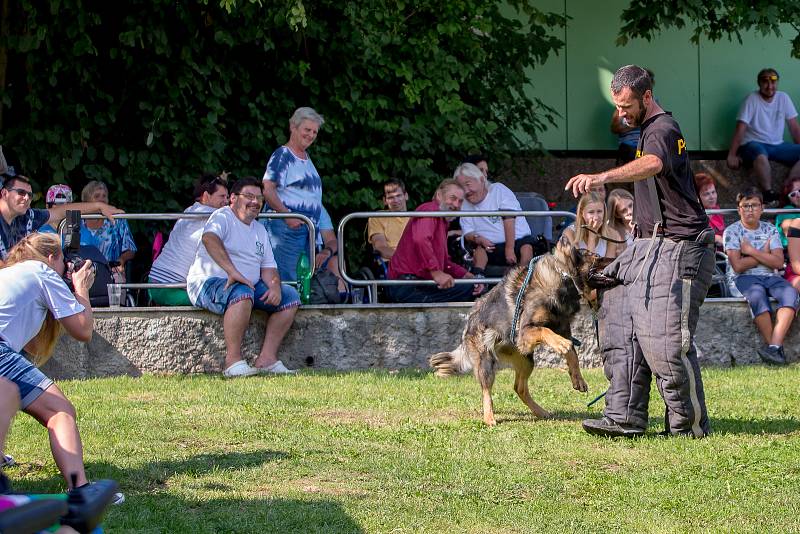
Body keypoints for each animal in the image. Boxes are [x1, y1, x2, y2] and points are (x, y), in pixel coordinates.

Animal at [432, 246, 612, 428]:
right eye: (597, 257)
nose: (616, 259)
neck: (564, 277)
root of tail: (469, 322)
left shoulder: (562, 330)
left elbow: (572, 354)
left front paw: (578, 379)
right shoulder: (526, 330)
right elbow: (545, 331)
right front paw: (561, 344)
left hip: (526, 359)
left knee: (519, 388)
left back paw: (540, 411)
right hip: (487, 362)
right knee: (486, 391)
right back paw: (489, 417)